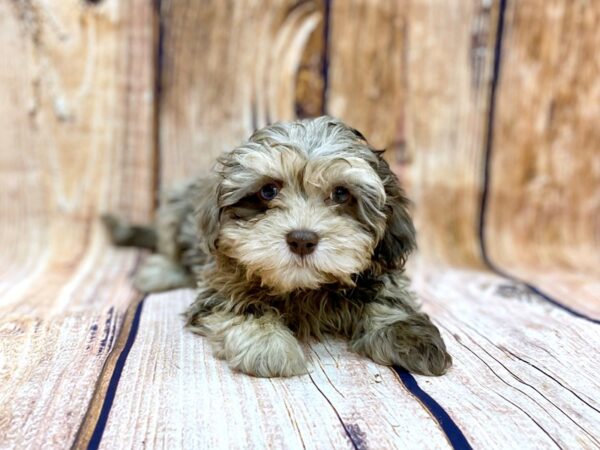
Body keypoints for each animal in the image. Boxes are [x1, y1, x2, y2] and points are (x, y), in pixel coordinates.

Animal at [103, 118, 450, 378]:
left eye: (341, 194)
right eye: (268, 191)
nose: (301, 239)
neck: (303, 288)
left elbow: (388, 299)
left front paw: (409, 333)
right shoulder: (222, 285)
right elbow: (244, 308)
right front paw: (269, 347)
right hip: (177, 206)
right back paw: (159, 271)